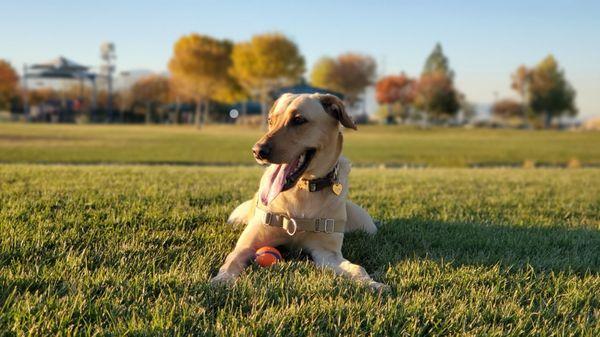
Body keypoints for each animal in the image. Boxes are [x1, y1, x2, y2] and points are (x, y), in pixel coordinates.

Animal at [211, 93, 390, 290]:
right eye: (270, 120)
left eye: (298, 120)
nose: (257, 151)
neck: (303, 192)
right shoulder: (246, 246)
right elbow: (231, 260)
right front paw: (223, 279)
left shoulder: (327, 253)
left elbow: (356, 268)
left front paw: (372, 283)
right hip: (236, 216)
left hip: (365, 225)